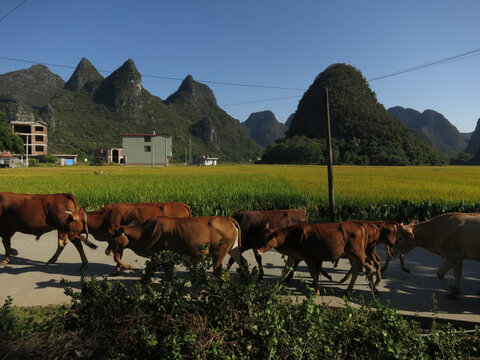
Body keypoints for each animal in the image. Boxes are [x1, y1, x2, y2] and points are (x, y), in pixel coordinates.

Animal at [106, 215, 242, 278]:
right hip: (233, 250)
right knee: (243, 262)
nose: (107, 251)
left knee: (217, 271)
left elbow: (150, 269)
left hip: (219, 253)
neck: (144, 232)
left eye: (113, 236)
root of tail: (227, 218)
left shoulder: (156, 254)